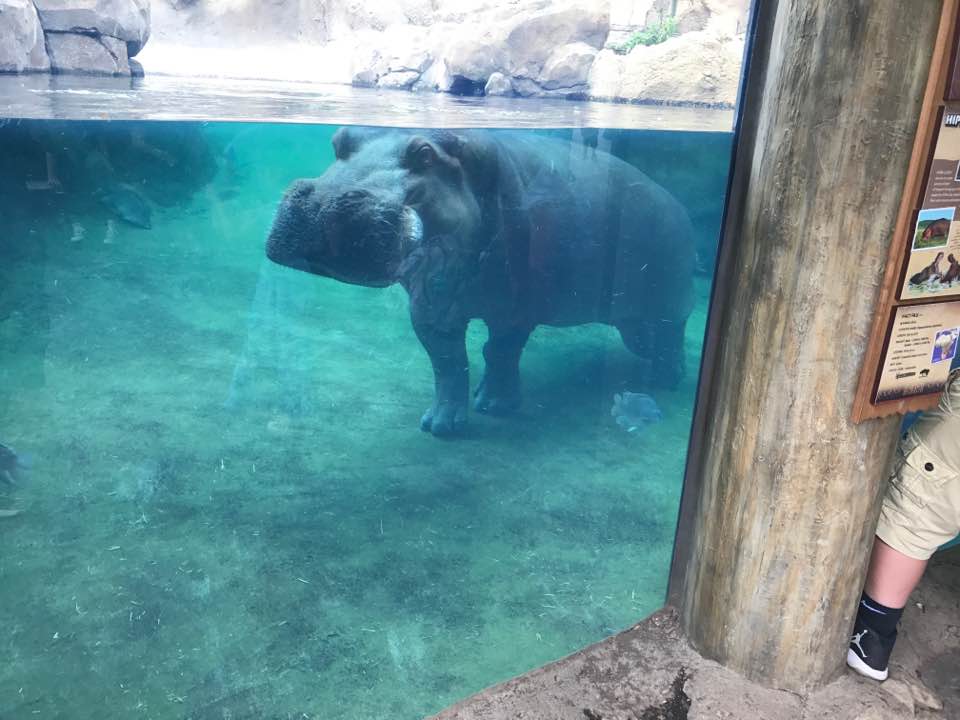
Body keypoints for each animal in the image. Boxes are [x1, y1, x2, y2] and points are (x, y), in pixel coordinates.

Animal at [266, 128, 695, 436]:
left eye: (424, 154)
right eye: (339, 140)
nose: (323, 203)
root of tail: (675, 200)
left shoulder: (517, 307)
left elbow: (500, 350)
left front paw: (496, 406)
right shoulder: (429, 305)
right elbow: (448, 362)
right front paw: (441, 425)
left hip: (667, 301)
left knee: (669, 335)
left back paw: (668, 379)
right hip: (631, 317)